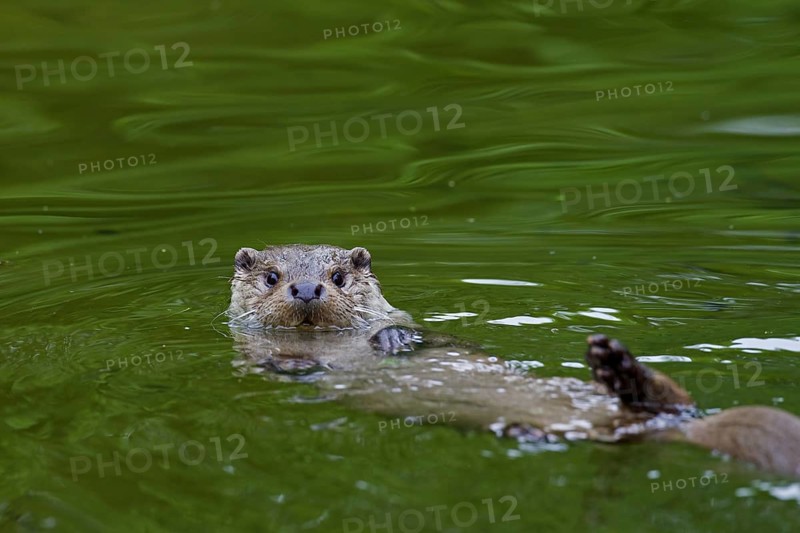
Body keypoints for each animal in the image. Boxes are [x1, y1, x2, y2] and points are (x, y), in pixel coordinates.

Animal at [227, 244, 800, 477]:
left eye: (340, 276)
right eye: (273, 276)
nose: (306, 288)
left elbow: (441, 339)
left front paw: (393, 338)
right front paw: (294, 366)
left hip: (669, 406)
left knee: (679, 396)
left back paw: (614, 364)